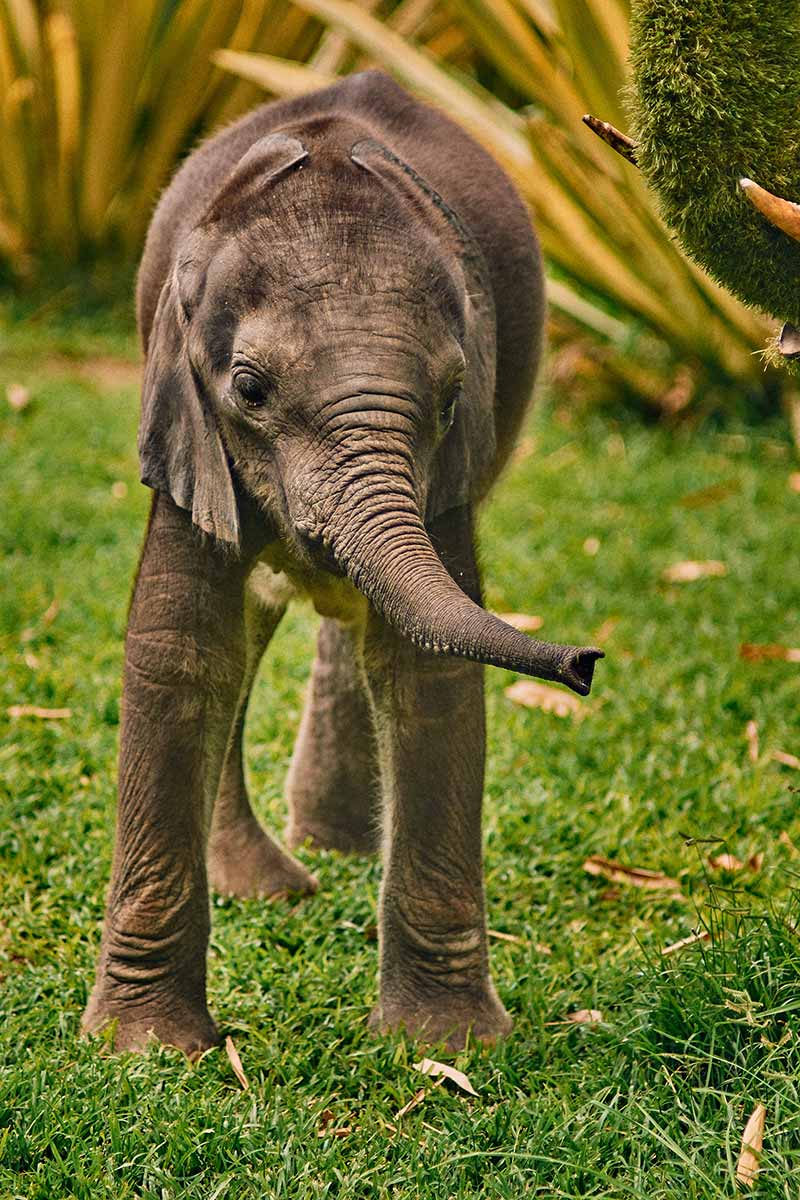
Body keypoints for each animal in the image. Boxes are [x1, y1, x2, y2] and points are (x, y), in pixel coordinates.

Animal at [82, 70, 602, 1056]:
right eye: (249, 389)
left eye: (451, 400)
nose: (586, 664)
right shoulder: (184, 416)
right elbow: (179, 649)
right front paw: (149, 1052)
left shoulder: (449, 470)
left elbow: (426, 667)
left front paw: (444, 1048)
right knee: (252, 626)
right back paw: (272, 884)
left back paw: (335, 852)